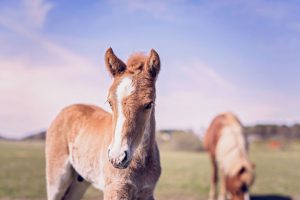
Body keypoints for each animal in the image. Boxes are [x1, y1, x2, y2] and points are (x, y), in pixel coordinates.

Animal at [45, 47, 162, 199]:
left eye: (149, 104)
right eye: (110, 102)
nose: (117, 158)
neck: (139, 163)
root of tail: (64, 110)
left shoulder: (147, 193)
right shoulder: (115, 190)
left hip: (80, 182)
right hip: (57, 179)